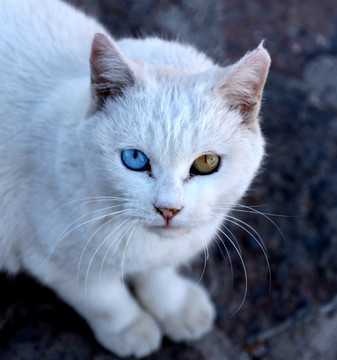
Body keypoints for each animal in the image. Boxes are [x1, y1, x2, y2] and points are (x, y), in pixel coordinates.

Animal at [0, 0, 270, 356]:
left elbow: (157, 274)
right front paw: (131, 329)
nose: (168, 209)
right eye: (135, 159)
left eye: (206, 162)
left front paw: (176, 308)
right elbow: (104, 298)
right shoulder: (50, 256)